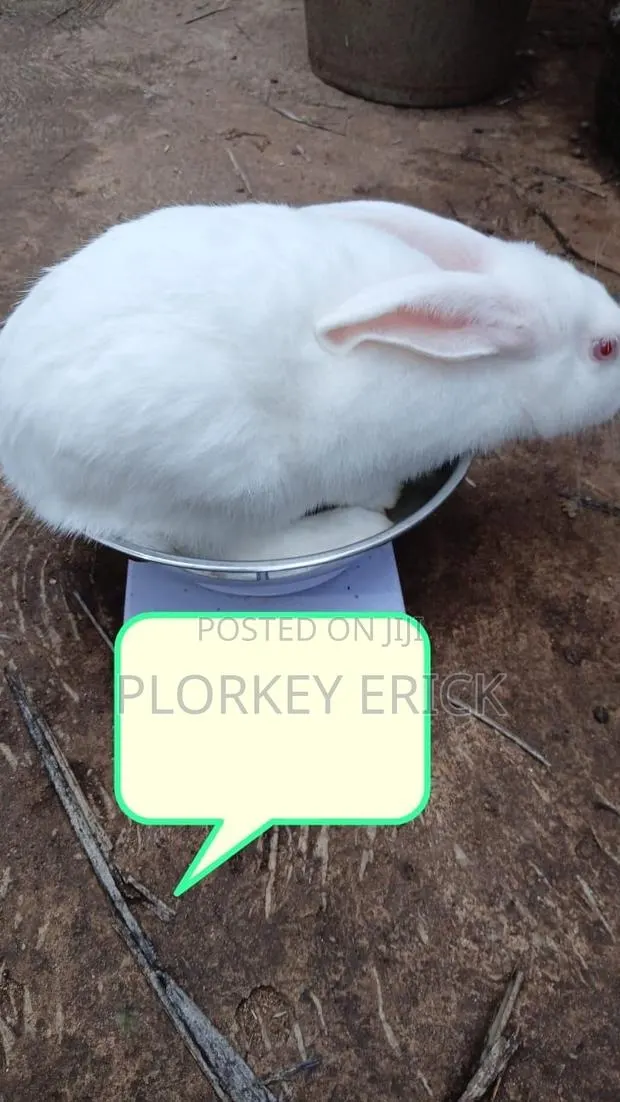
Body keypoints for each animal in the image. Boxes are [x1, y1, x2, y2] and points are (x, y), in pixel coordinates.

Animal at [0, 196, 619, 562]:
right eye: (604, 349)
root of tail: (27, 469)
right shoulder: (367, 459)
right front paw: (384, 500)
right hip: (227, 475)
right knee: (228, 545)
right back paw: (353, 529)